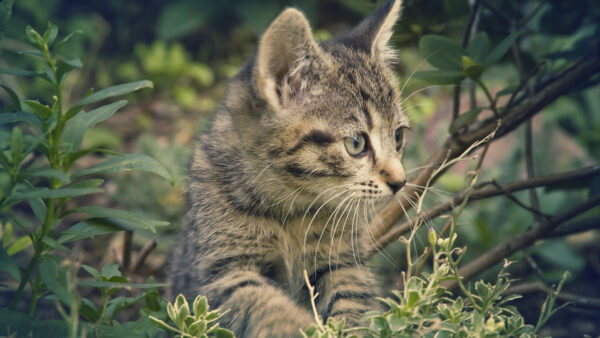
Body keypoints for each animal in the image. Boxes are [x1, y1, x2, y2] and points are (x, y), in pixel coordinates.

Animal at [171, 0, 410, 336]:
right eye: (356, 144)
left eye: (398, 136)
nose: (400, 182)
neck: (289, 209)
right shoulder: (219, 271)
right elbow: (262, 301)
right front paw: (296, 325)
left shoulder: (341, 261)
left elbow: (352, 301)